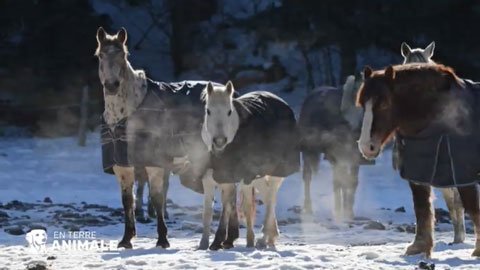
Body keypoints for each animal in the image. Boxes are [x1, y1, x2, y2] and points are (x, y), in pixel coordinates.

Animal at [356, 63, 480, 258]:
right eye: (362, 105)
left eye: (384, 104)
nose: (366, 146)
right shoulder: (420, 172)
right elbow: (422, 209)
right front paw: (420, 247)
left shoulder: (463, 174)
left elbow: (473, 208)